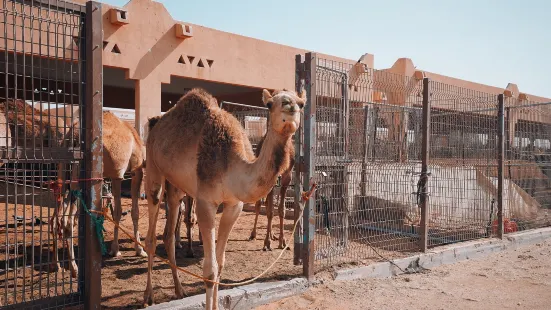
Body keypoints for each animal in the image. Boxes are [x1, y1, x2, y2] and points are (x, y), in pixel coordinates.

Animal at [142, 88, 306, 308]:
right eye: (270, 104)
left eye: (302, 104)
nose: (290, 107)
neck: (232, 165)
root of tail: (156, 124)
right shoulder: (205, 203)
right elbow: (210, 270)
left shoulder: (234, 206)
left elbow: (220, 265)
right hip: (153, 167)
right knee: (151, 233)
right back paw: (148, 296)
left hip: (176, 186)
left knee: (168, 235)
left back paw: (179, 290)